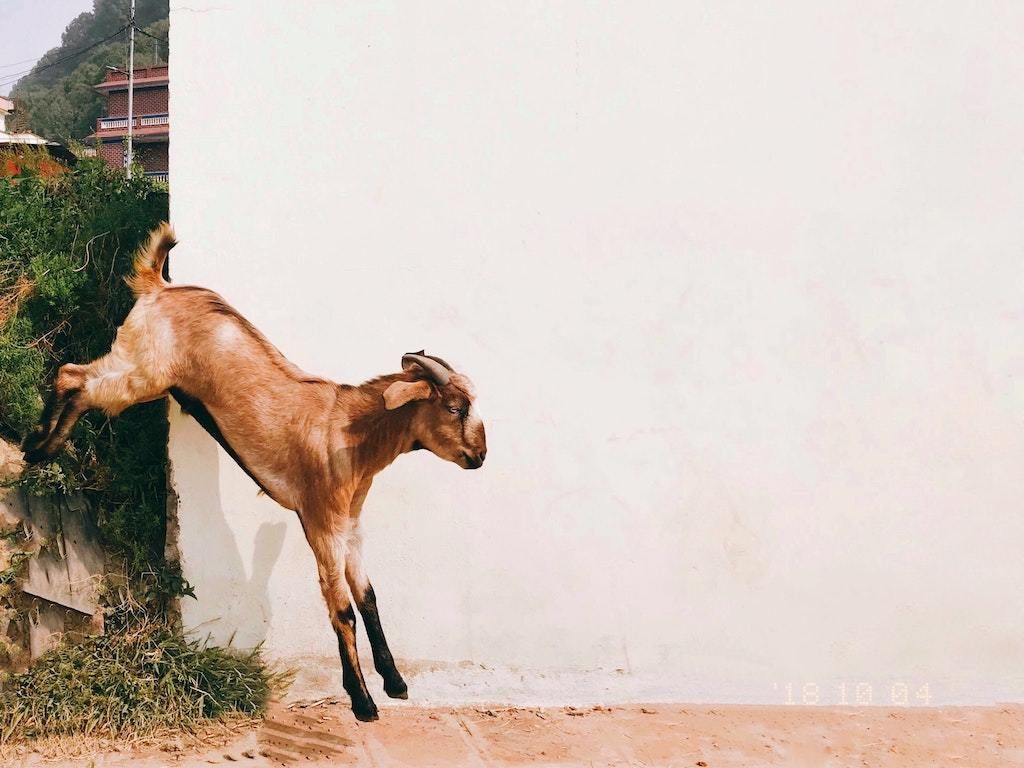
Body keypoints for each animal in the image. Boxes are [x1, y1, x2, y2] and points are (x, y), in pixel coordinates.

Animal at [23, 222, 487, 720]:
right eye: (455, 407)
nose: (480, 455)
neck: (346, 428)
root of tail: (157, 285)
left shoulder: (350, 523)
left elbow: (368, 596)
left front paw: (395, 682)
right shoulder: (321, 520)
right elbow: (341, 607)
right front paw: (362, 701)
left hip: (138, 371)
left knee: (77, 380)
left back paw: (44, 447)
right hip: (139, 372)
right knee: (72, 376)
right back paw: (37, 447)